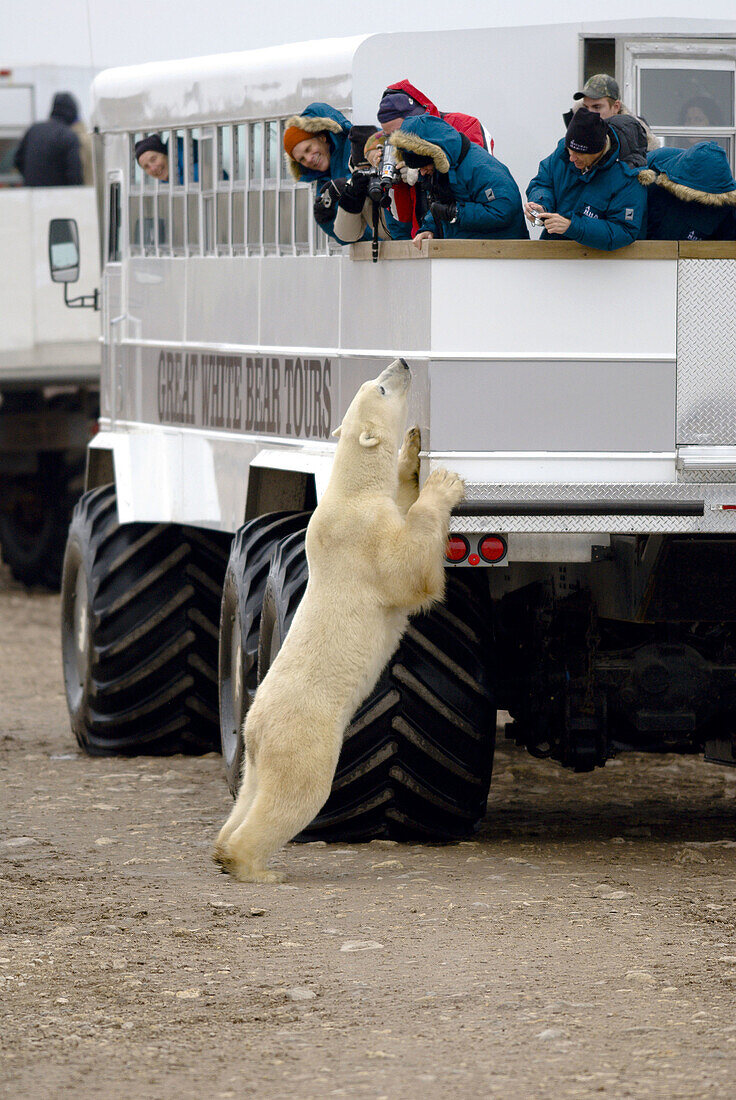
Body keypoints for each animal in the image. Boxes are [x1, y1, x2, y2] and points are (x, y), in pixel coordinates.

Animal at [213, 360, 464, 884]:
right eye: (382, 388)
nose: (403, 362)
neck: (347, 490)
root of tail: (255, 727)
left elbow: (401, 502)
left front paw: (412, 453)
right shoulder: (364, 536)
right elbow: (410, 572)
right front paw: (444, 484)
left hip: (257, 750)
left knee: (250, 792)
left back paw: (223, 849)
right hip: (307, 738)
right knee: (295, 795)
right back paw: (255, 866)